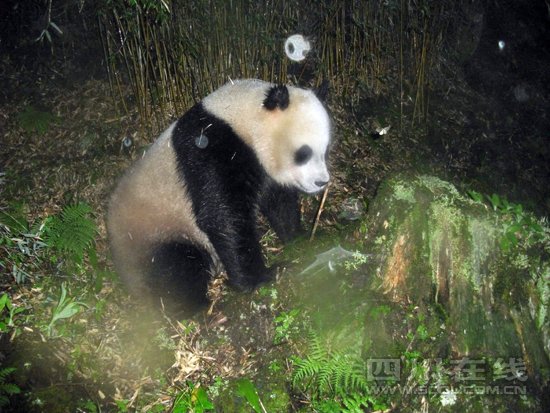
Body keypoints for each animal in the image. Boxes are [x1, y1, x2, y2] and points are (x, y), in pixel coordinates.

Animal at [108, 79, 332, 308]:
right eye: (303, 153)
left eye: (325, 150)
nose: (321, 182)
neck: (242, 120)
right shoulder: (211, 150)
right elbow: (222, 216)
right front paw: (262, 277)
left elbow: (279, 202)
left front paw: (302, 238)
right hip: (156, 231)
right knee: (177, 268)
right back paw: (200, 307)